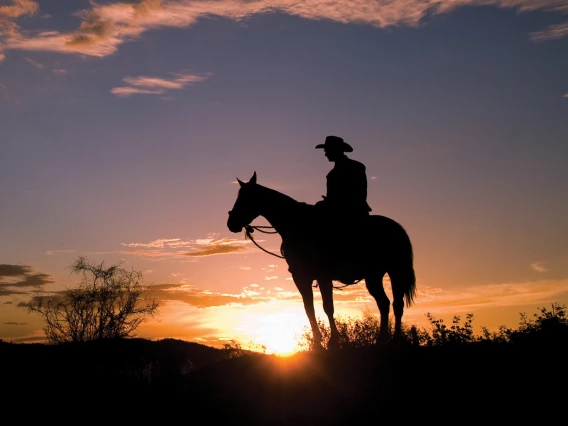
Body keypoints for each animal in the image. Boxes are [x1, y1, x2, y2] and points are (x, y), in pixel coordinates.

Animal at [227, 171, 418, 352]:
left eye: (244, 198)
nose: (231, 223)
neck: (297, 226)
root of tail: (398, 228)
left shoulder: (323, 276)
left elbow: (328, 307)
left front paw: (333, 342)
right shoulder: (301, 277)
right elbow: (309, 308)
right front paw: (318, 344)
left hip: (396, 271)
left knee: (397, 304)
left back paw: (396, 340)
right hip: (374, 276)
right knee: (384, 303)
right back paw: (381, 341)